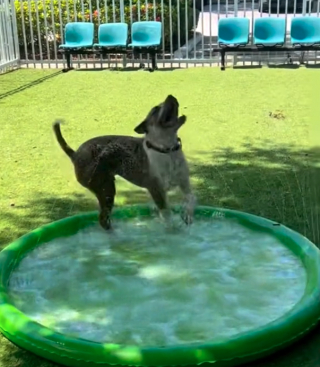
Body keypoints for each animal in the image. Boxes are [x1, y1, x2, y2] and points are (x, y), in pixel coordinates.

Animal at [52, 95, 195, 233]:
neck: (167, 150)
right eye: (155, 108)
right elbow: (167, 214)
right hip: (106, 190)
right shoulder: (156, 189)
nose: (171, 96)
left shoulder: (184, 182)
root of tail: (75, 154)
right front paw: (172, 230)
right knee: (103, 219)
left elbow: (190, 198)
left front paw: (187, 216)